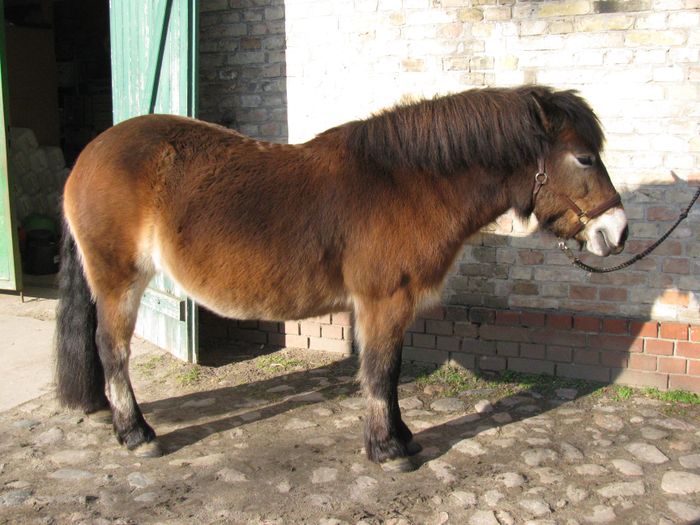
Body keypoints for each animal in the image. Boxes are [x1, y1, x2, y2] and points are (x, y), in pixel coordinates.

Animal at [56, 85, 628, 470]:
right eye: (584, 157)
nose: (618, 232)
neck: (405, 183)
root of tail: (89, 155)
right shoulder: (383, 301)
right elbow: (380, 373)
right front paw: (388, 449)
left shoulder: (390, 307)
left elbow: (388, 374)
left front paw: (402, 436)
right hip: (119, 280)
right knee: (113, 351)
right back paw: (136, 433)